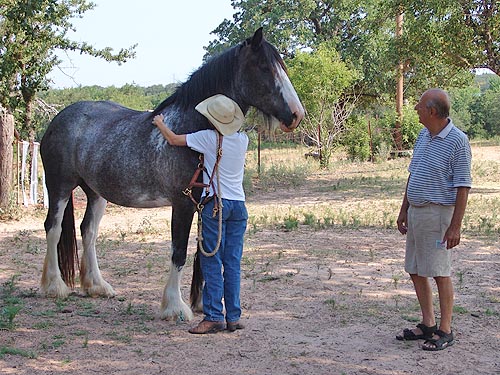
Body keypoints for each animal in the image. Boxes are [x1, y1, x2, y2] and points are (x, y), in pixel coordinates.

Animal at [40, 27, 304, 322]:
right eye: (264, 68)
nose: (296, 114)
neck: (193, 129)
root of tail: (58, 118)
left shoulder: (206, 203)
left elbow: (205, 252)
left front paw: (201, 303)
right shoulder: (183, 204)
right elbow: (179, 253)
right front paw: (175, 307)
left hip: (96, 193)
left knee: (89, 231)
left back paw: (97, 286)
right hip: (60, 186)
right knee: (53, 228)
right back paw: (54, 286)